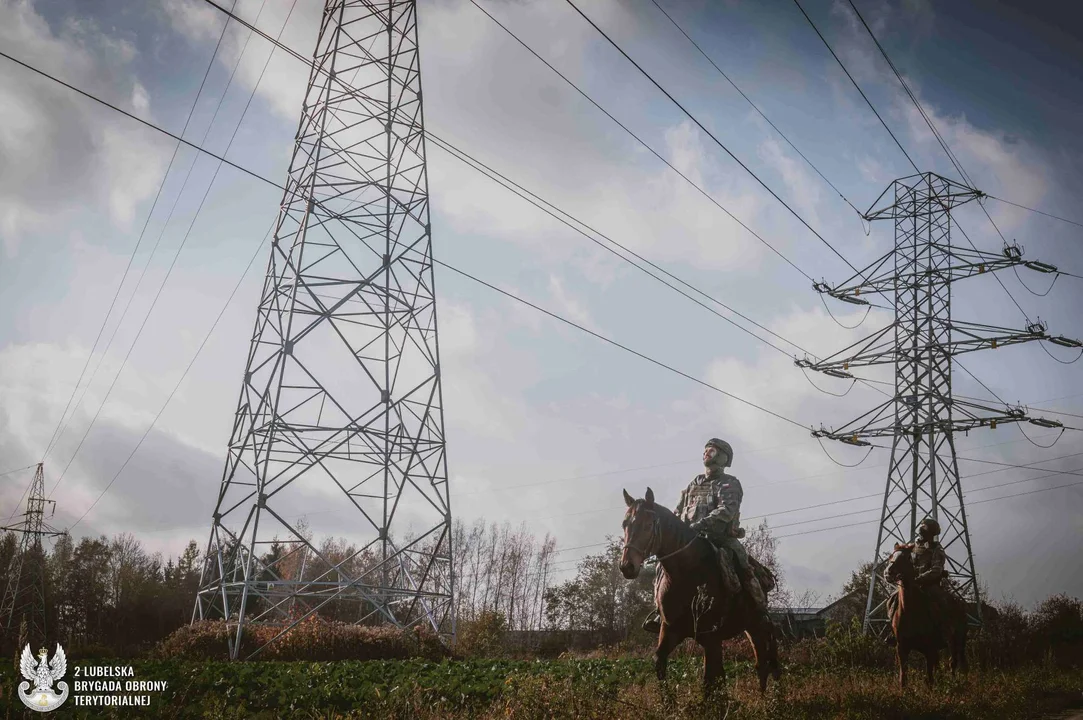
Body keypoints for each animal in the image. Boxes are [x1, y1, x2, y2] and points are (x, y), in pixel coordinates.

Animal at [619, 485, 779, 692]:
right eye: (625, 524)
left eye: (648, 525)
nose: (627, 567)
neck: (686, 573)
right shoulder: (670, 630)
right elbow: (660, 664)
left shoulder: (711, 638)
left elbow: (710, 681)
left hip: (756, 626)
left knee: (764, 665)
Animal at [883, 541, 970, 688]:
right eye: (891, 556)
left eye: (907, 558)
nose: (889, 572)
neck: (910, 612)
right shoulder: (902, 648)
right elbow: (903, 676)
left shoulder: (929, 648)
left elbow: (929, 677)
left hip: (958, 641)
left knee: (955, 663)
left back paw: (958, 682)